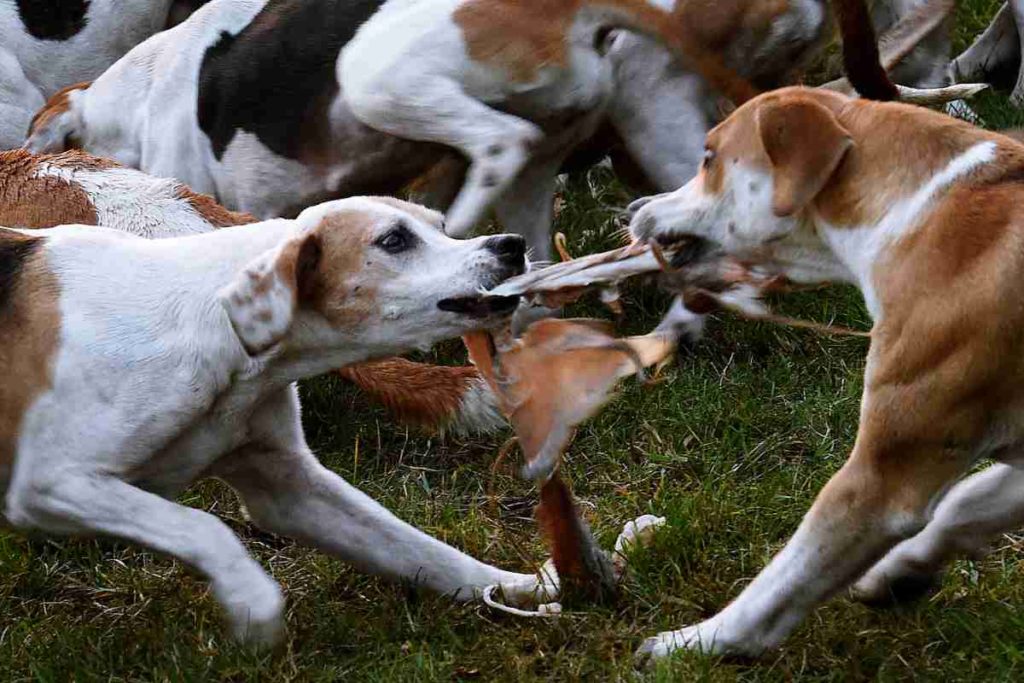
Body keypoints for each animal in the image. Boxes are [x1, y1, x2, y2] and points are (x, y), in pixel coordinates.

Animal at [0, 193, 557, 647]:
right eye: (394, 240)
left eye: (441, 225)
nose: (512, 244)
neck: (223, 327)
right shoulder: (52, 483)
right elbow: (204, 526)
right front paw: (253, 603)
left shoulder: (287, 489)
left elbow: (425, 550)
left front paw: (522, 586)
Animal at [626, 83, 1024, 655]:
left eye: (708, 158)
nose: (636, 206)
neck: (919, 210)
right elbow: (967, 504)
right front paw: (900, 572)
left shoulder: (878, 482)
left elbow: (784, 579)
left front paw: (694, 643)